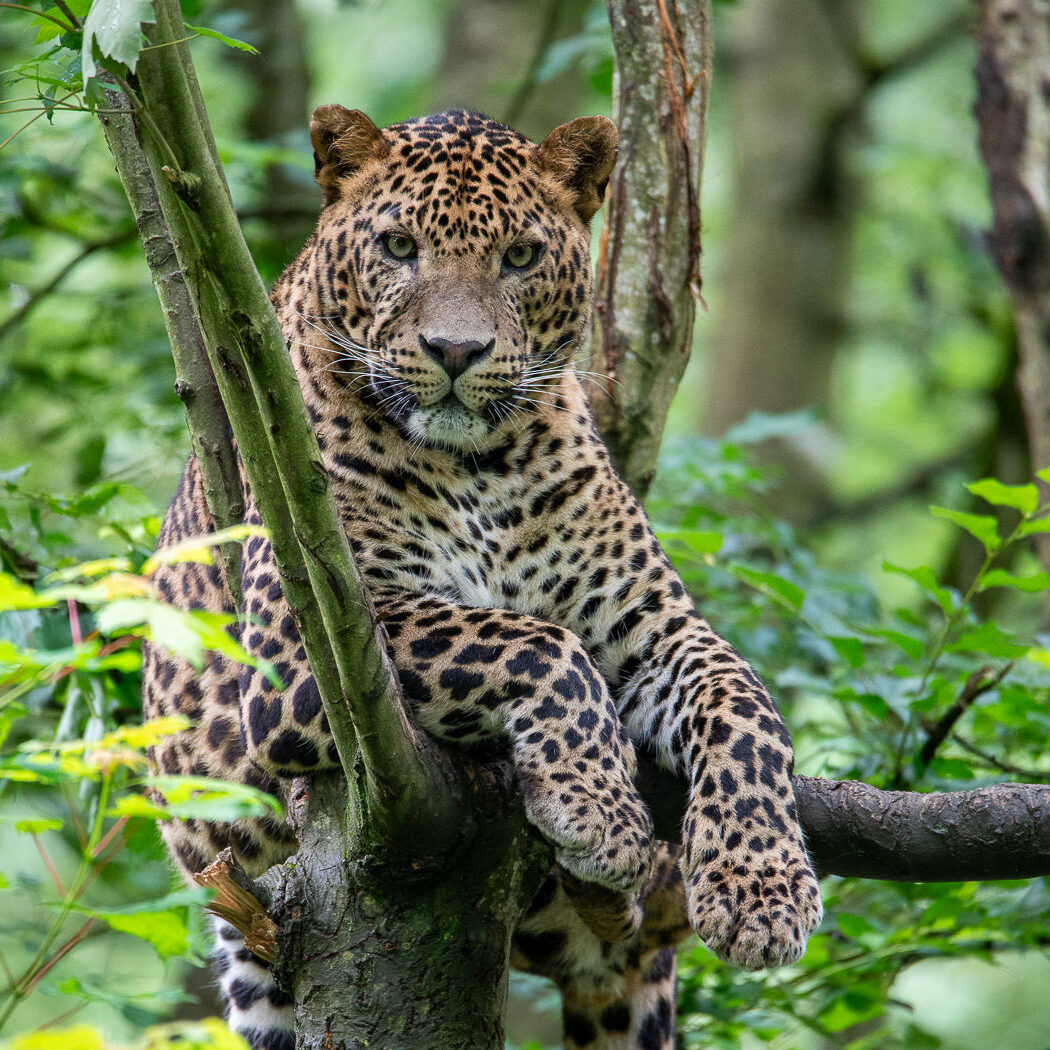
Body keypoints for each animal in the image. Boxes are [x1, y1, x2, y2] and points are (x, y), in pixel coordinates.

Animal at [143, 106, 823, 1050]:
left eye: (521, 257)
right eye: (399, 247)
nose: (456, 351)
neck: (481, 466)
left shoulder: (658, 626)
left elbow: (748, 707)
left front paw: (764, 891)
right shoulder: (307, 651)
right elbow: (539, 643)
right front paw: (602, 811)